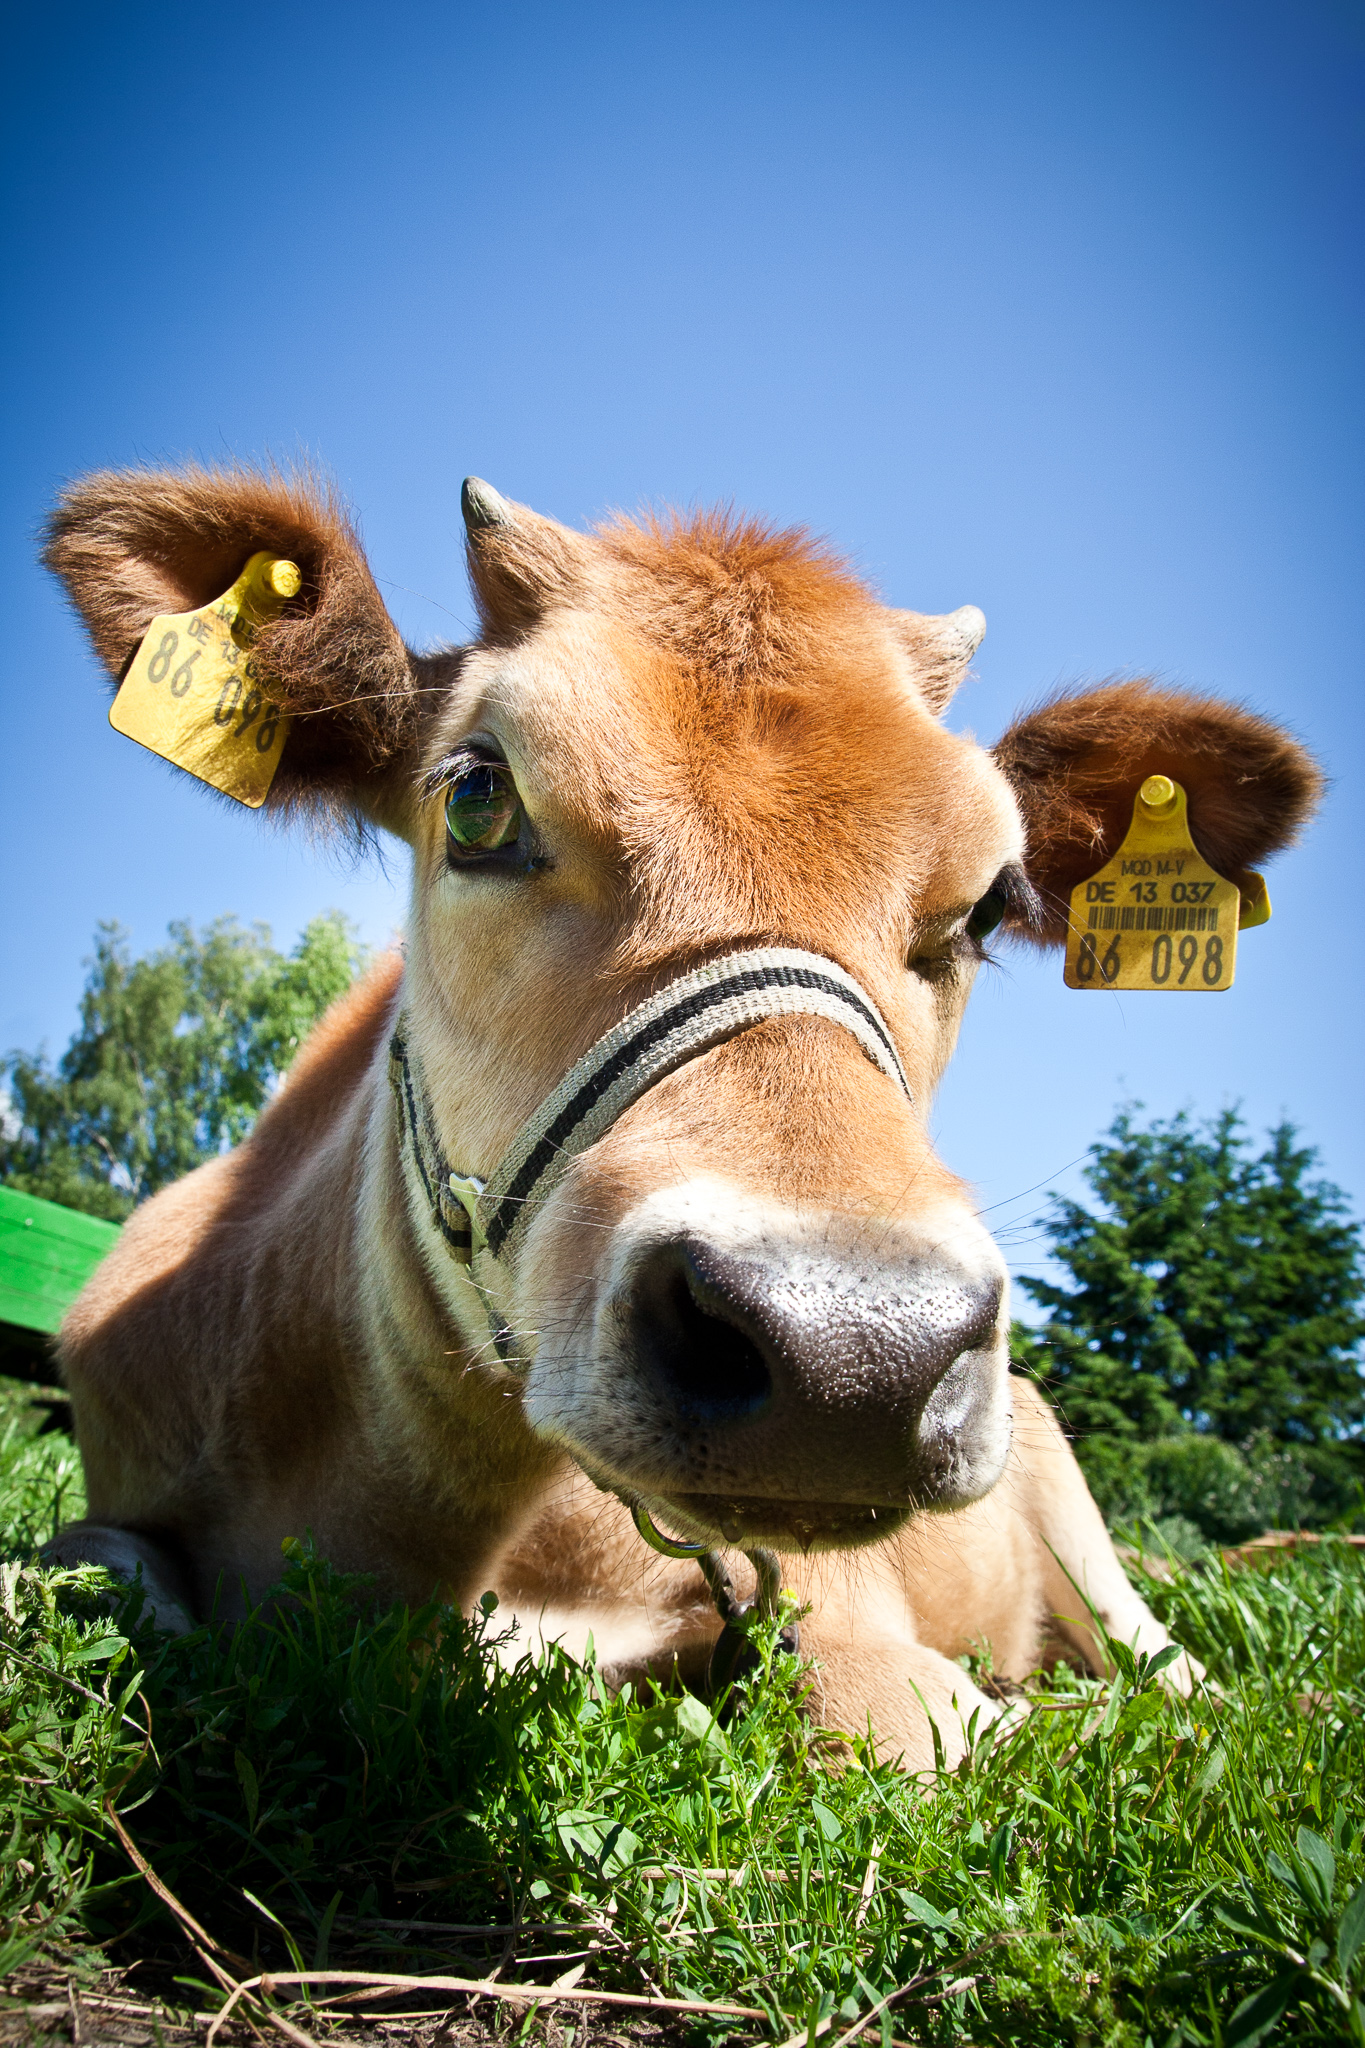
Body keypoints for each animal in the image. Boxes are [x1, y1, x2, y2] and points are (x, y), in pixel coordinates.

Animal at [40, 465, 1320, 1767]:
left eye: (989, 905)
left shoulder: (844, 1622)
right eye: (479, 797)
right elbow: (82, 1568)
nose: (853, 1351)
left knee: (1178, 1678)